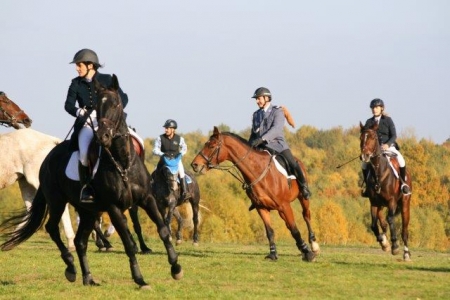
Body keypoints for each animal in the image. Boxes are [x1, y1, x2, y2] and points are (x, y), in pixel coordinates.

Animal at [0, 75, 183, 288]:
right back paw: (71, 267)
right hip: (56, 200)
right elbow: (128, 244)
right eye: (97, 106)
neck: (122, 163)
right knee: (52, 227)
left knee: (80, 241)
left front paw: (176, 268)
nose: (103, 136)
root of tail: (49, 155)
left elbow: (163, 230)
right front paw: (139, 278)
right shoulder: (113, 207)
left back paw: (88, 277)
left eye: (116, 103)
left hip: (86, 209)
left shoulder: (146, 199)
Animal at [191, 125, 320, 262]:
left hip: (303, 198)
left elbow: (294, 229)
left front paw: (307, 253)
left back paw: (314, 246)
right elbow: (270, 232)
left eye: (211, 146)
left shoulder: (284, 206)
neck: (258, 171)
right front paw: (273, 254)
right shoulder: (261, 207)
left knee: (306, 216)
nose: (194, 164)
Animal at [358, 121, 412, 260]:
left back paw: (406, 253)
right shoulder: (374, 203)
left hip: (405, 204)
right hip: (381, 205)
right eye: (361, 138)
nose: (364, 156)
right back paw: (384, 239)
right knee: (382, 222)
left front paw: (395, 246)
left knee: (404, 230)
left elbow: (390, 220)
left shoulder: (391, 201)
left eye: (372, 137)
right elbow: (373, 225)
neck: (378, 172)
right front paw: (384, 243)